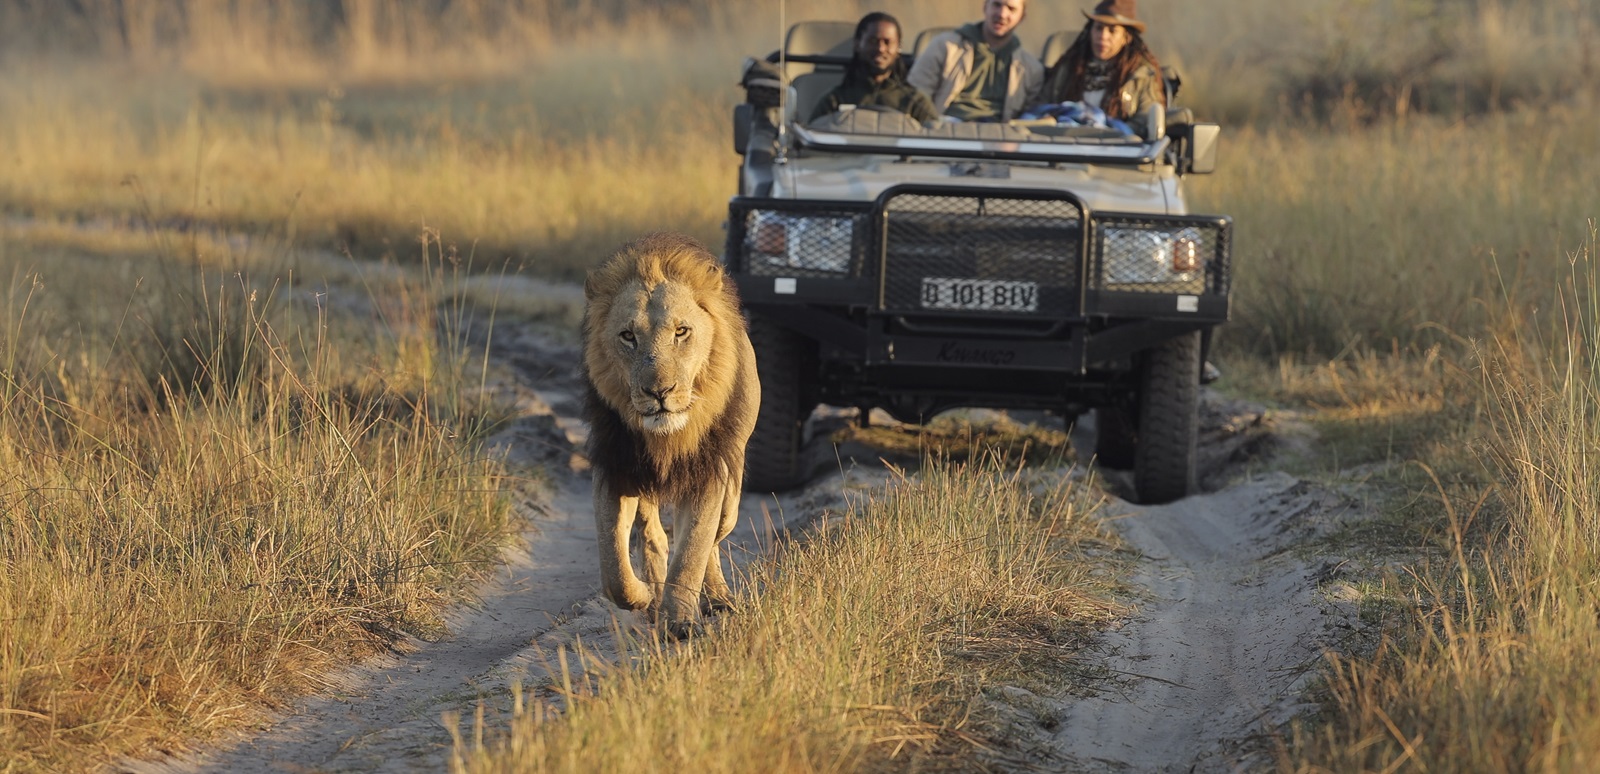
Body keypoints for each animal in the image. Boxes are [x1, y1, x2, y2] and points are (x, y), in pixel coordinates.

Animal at [581, 232, 760, 638]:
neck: (668, 437)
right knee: (653, 534)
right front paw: (645, 596)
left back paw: (716, 598)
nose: (659, 392)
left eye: (681, 331)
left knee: (714, 535)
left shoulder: (710, 471)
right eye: (628, 336)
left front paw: (679, 621)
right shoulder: (614, 467)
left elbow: (692, 550)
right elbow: (613, 567)